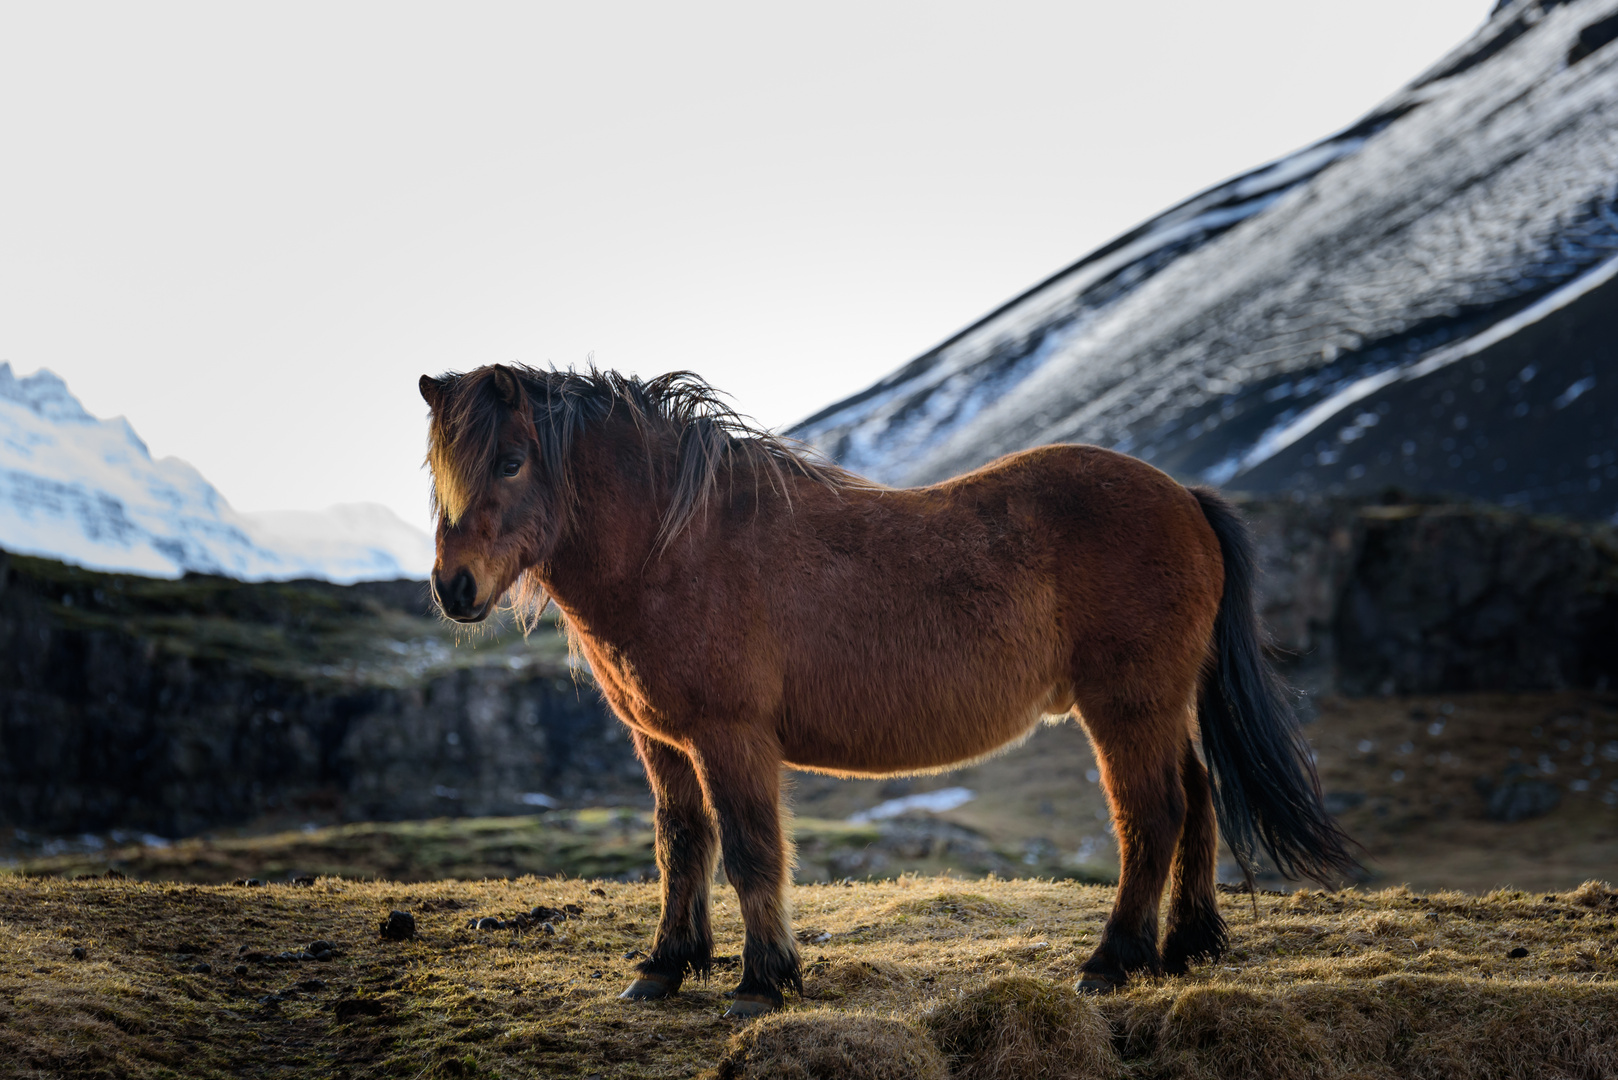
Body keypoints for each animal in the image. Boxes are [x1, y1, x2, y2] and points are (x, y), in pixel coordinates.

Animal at [417, 362, 1352, 1016]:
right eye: (441, 475)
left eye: (511, 459)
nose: (454, 589)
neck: (675, 546)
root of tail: (1185, 497)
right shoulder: (661, 740)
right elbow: (681, 845)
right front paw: (663, 969)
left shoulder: (731, 736)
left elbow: (752, 851)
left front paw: (763, 983)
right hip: (1161, 704)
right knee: (1197, 799)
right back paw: (1191, 946)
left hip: (1126, 705)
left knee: (1153, 815)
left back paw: (1112, 963)